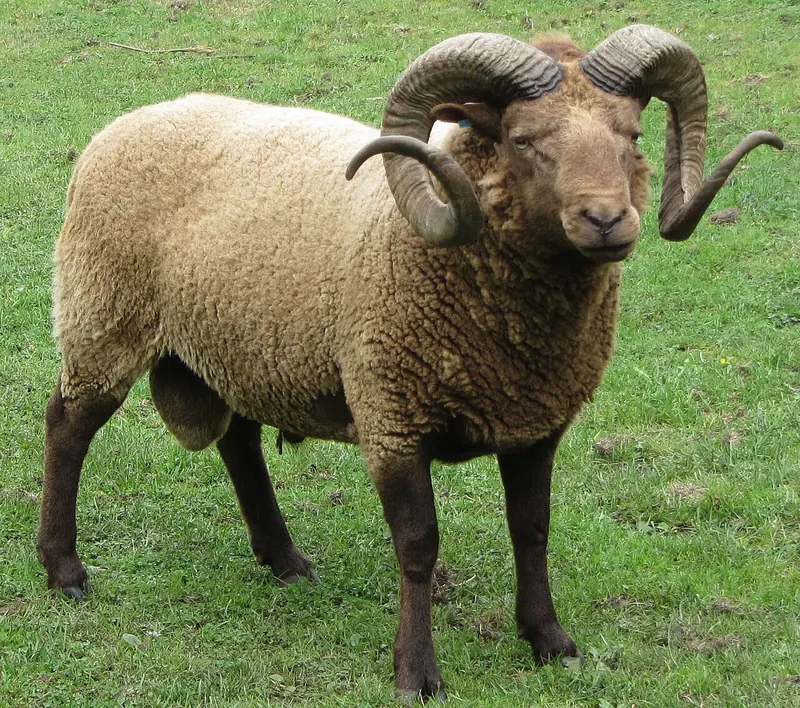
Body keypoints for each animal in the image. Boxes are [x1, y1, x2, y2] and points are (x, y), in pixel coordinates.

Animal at [38, 25, 781, 699]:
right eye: (522, 140)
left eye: (632, 134)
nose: (607, 221)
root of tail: (125, 124)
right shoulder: (392, 415)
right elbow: (419, 545)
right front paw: (417, 673)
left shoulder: (537, 423)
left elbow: (532, 529)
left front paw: (549, 640)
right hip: (103, 320)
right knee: (67, 427)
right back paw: (64, 570)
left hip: (243, 346)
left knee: (239, 443)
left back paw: (285, 560)